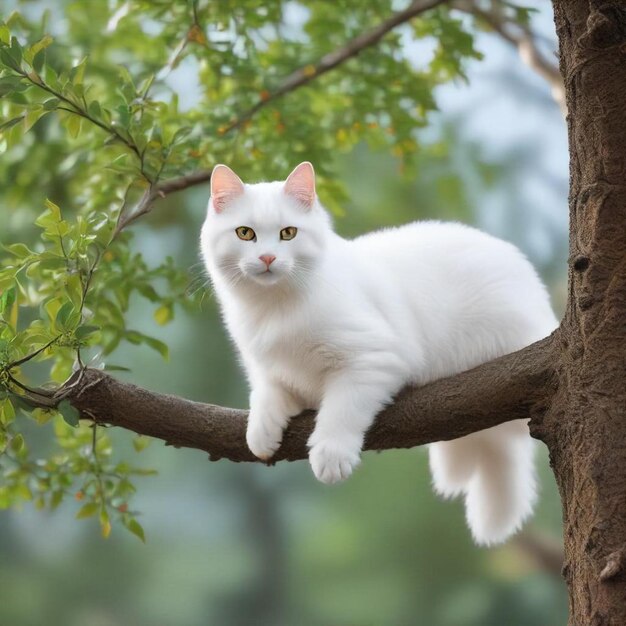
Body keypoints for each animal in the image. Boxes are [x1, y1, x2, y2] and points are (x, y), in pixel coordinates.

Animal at [201, 161, 556, 540]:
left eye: (288, 233)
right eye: (245, 233)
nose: (267, 257)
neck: (272, 309)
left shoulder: (374, 360)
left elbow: (341, 410)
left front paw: (331, 454)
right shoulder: (271, 370)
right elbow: (266, 396)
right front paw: (261, 433)